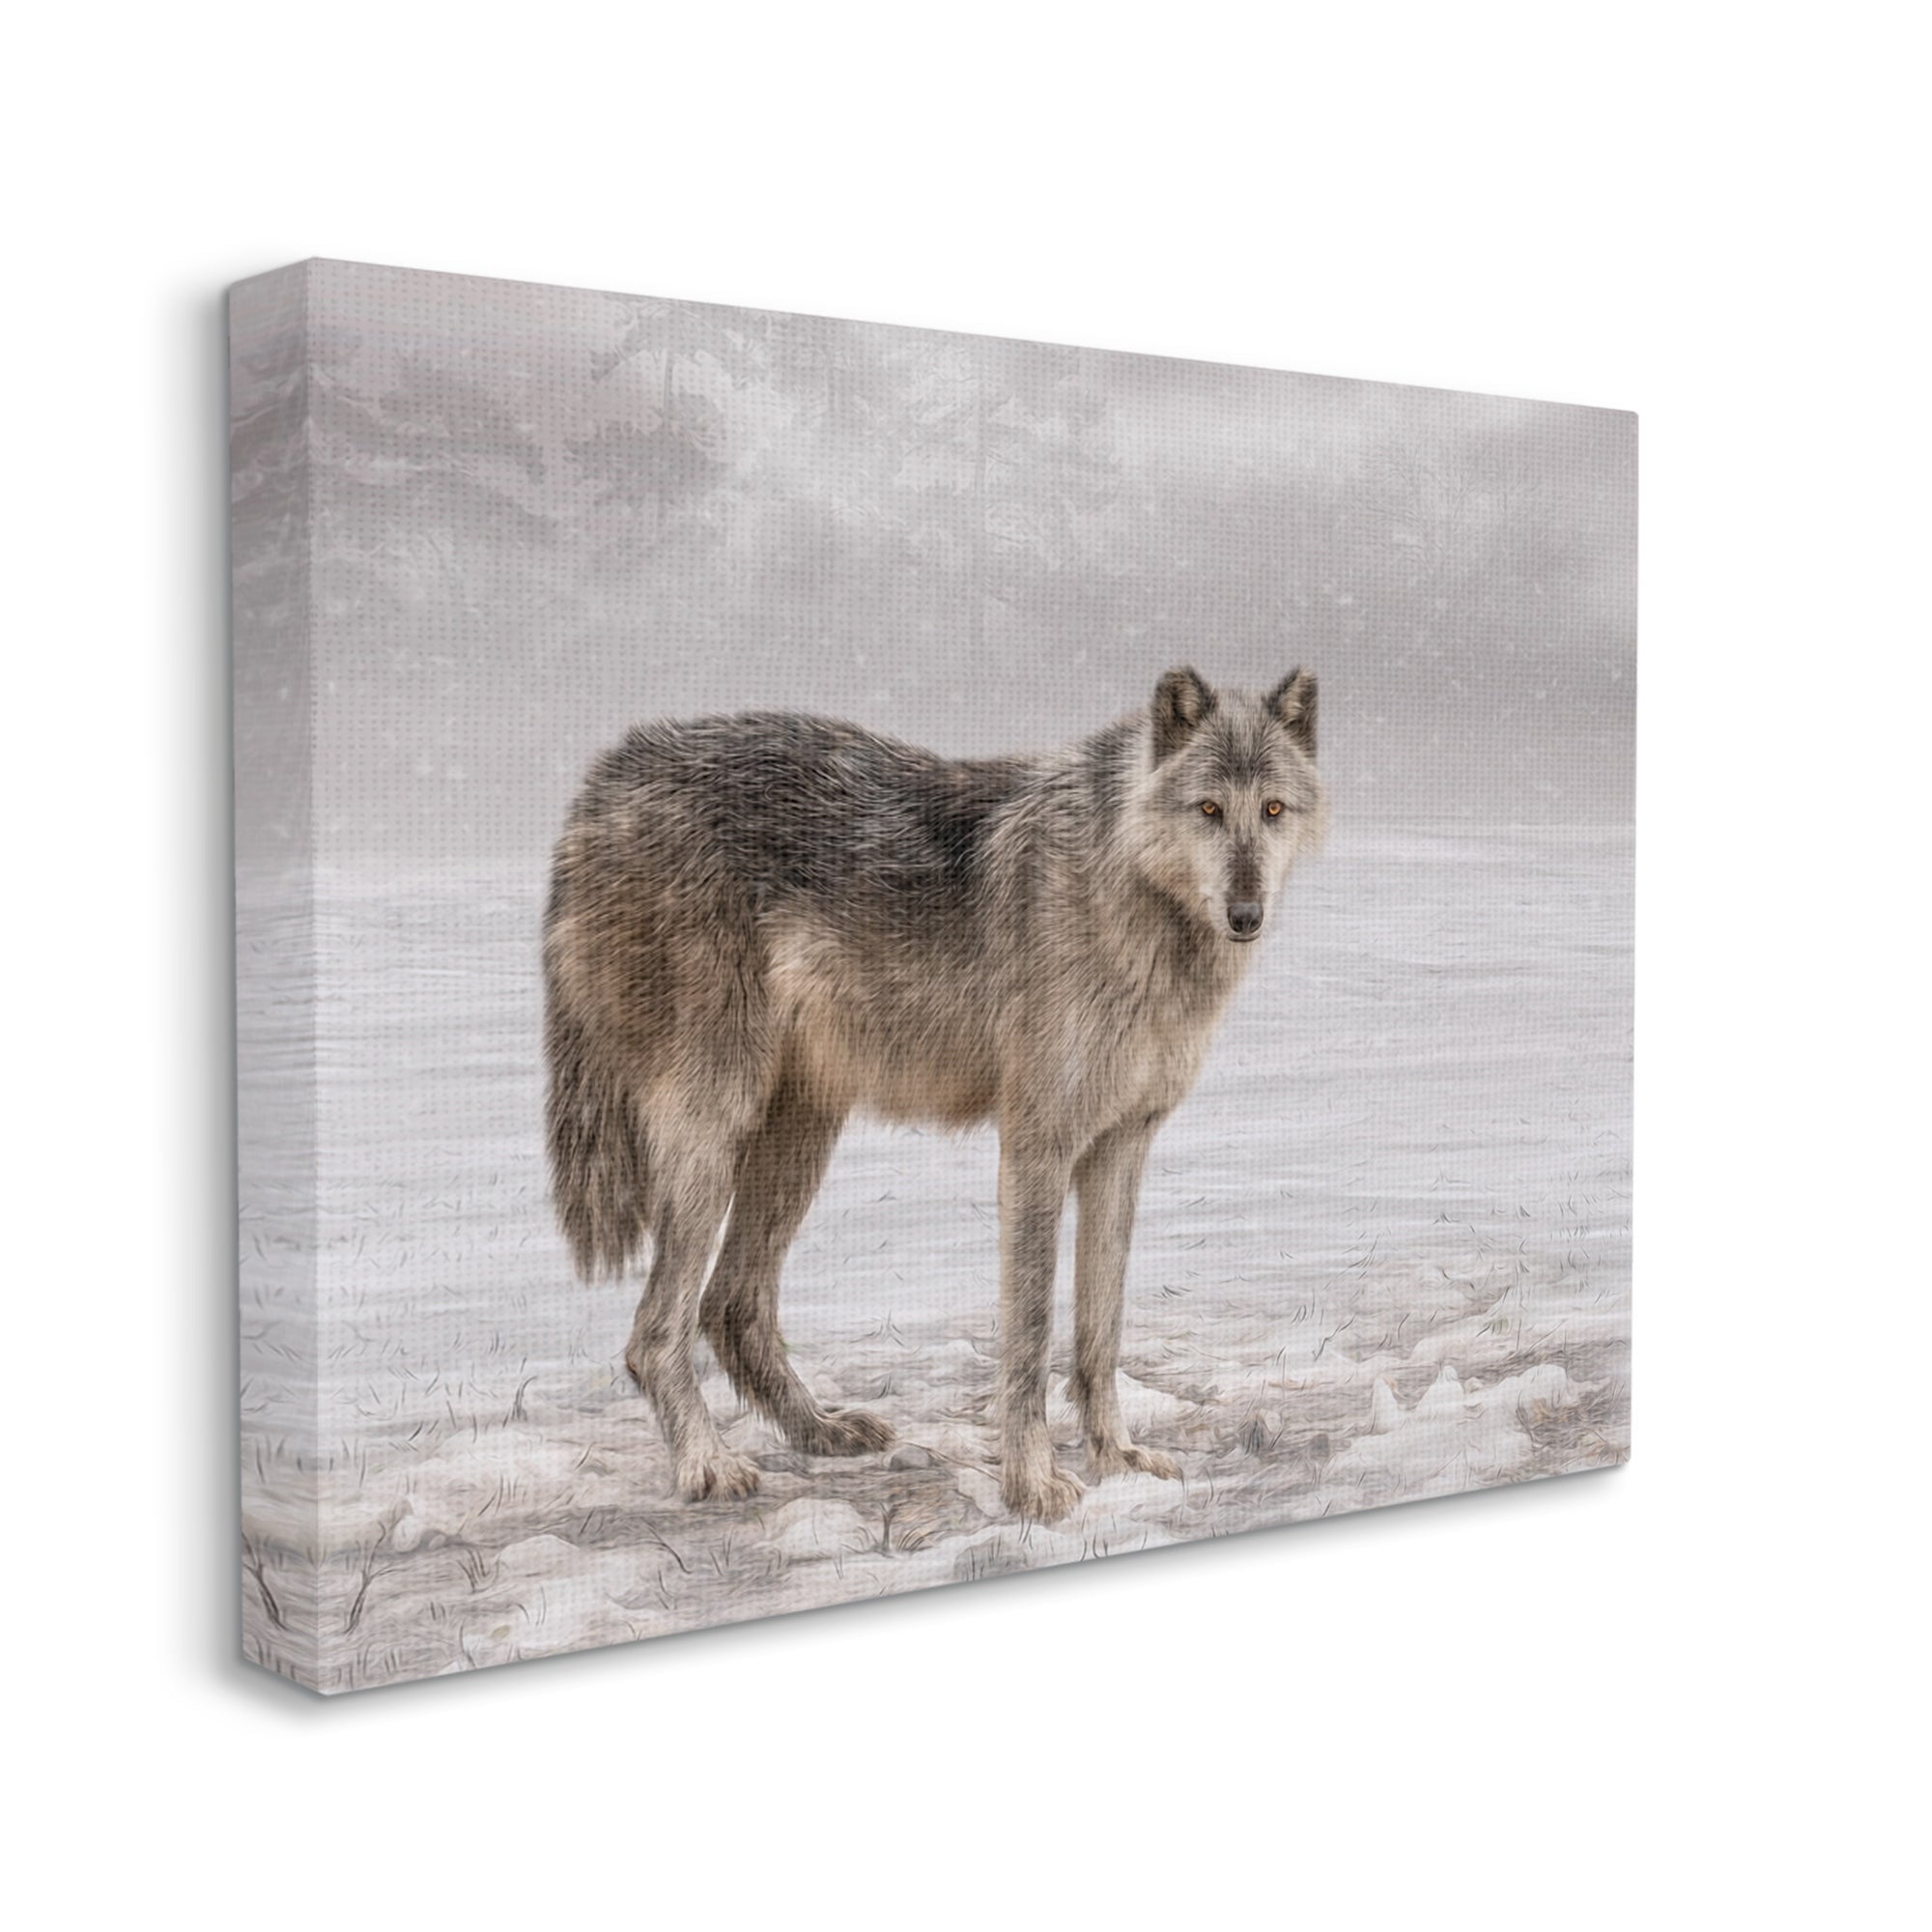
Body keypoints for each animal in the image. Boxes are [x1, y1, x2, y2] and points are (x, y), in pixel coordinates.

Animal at [544, 665, 1324, 1520]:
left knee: (732, 1306)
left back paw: (820, 1432)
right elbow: (1029, 1336)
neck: (1124, 889)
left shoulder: (1122, 1146)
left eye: (1272, 810)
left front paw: (1116, 1460)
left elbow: (1100, 1330)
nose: (1246, 913)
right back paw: (707, 1467)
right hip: (715, 1132)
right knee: (656, 1333)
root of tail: (608, 775)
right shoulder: (1036, 1146)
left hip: (800, 1136)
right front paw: (1032, 1485)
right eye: (1208, 810)